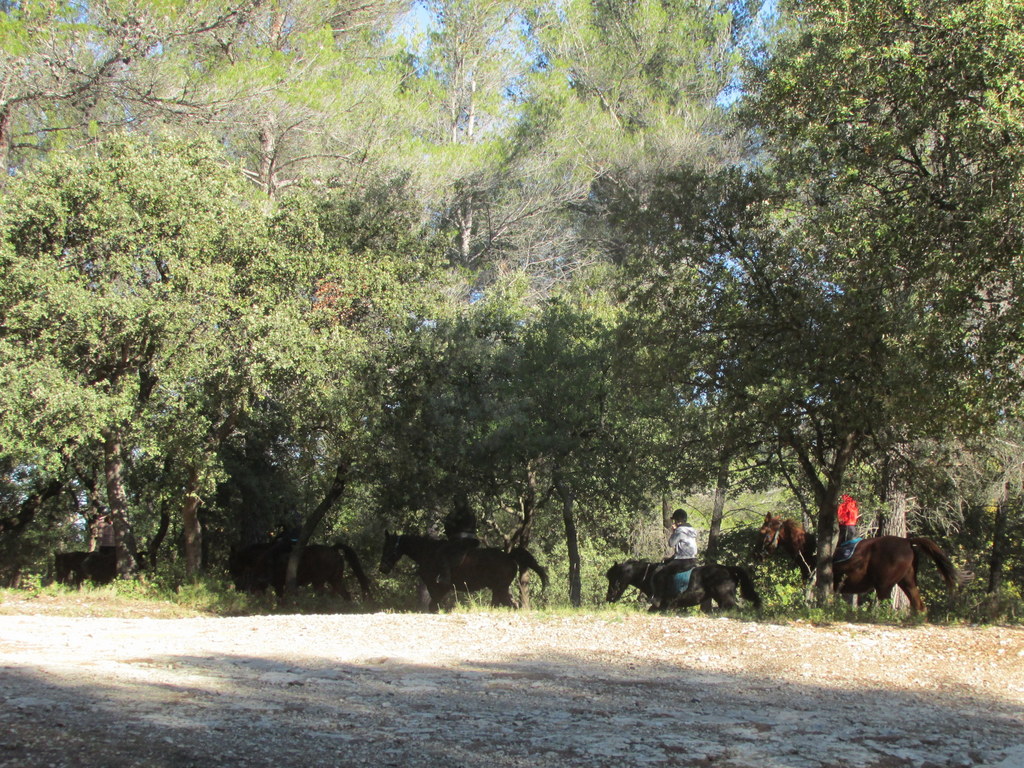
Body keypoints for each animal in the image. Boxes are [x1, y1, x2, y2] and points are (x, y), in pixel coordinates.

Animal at [229, 536, 372, 606]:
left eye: (231, 560)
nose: (235, 582)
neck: (264, 555)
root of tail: (333, 549)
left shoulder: (277, 584)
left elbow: (279, 598)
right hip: (335, 580)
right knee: (345, 594)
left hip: (319, 581)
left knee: (323, 594)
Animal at [380, 536, 548, 614]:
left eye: (388, 547)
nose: (382, 568)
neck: (429, 553)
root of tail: (509, 556)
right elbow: (434, 606)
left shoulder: (440, 587)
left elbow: (433, 605)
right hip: (498, 589)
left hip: (500, 588)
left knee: (511, 605)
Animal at [606, 561, 761, 614]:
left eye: (614, 578)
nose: (609, 598)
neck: (649, 575)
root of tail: (728, 569)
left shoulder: (660, 605)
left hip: (725, 598)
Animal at [761, 514, 966, 618]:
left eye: (763, 532)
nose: (759, 552)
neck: (809, 550)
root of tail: (908, 542)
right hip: (907, 582)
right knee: (918, 605)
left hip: (884, 585)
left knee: (884, 606)